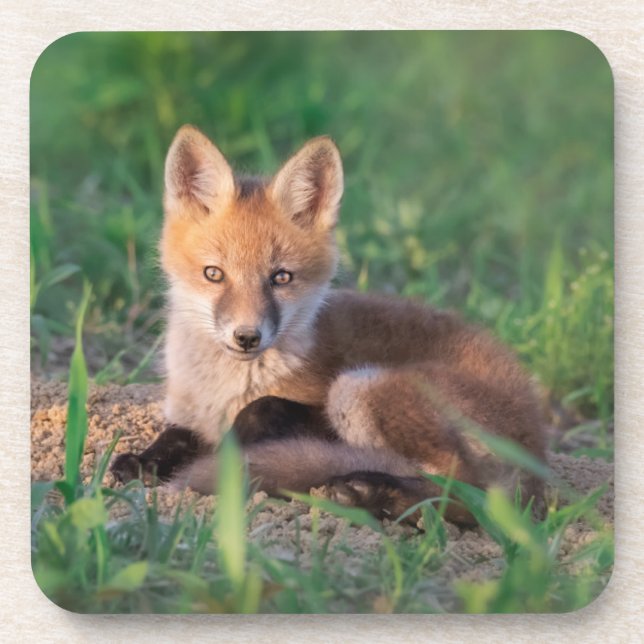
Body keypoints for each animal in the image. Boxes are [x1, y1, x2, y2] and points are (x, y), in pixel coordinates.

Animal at [111, 125, 546, 525]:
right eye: (213, 274)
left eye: (281, 277)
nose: (247, 337)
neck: (223, 389)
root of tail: (538, 450)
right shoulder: (186, 414)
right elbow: (174, 436)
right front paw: (144, 461)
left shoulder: (312, 406)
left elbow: (260, 408)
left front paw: (230, 452)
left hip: (359, 386)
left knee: (471, 495)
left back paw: (375, 492)